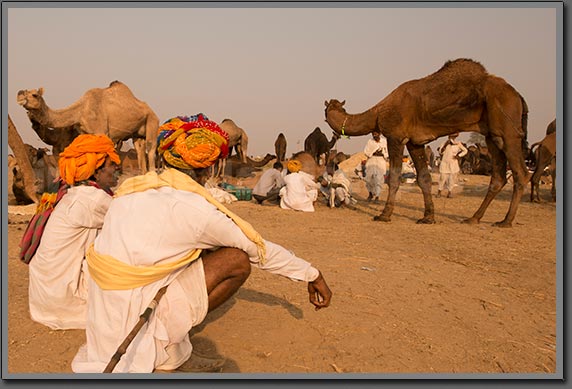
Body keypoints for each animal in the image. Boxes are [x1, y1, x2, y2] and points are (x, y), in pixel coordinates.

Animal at [16, 80, 159, 173]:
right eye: (25, 91)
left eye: (34, 95)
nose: (19, 94)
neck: (81, 111)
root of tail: (151, 110)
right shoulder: (86, 134)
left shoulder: (101, 132)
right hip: (137, 132)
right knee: (140, 150)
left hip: (152, 121)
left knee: (151, 148)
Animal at [324, 58, 528, 227]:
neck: (378, 112)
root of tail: (518, 95)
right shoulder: (415, 143)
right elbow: (424, 178)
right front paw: (428, 217)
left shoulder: (396, 137)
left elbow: (394, 177)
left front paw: (384, 214)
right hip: (492, 136)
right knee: (499, 176)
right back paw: (474, 218)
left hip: (507, 130)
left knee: (521, 173)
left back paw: (506, 221)